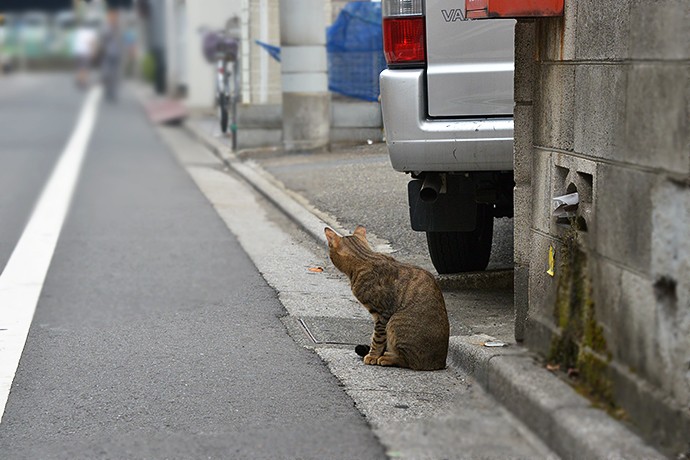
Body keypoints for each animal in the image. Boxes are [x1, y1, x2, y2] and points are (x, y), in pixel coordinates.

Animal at [326, 225, 448, 372]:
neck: (365, 258)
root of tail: (440, 363)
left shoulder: (383, 314)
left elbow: (377, 338)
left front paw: (373, 355)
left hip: (395, 321)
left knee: (409, 361)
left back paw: (388, 358)